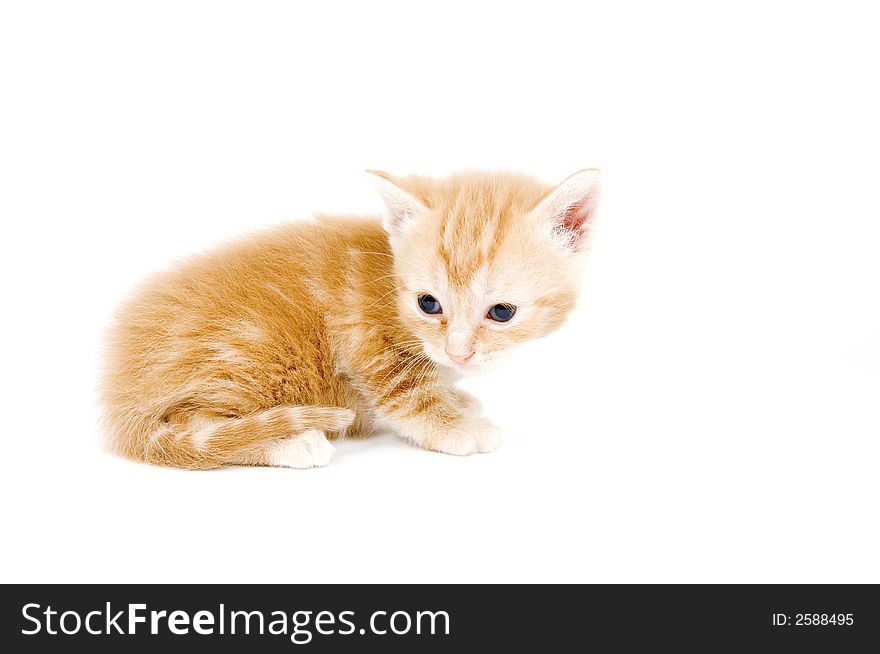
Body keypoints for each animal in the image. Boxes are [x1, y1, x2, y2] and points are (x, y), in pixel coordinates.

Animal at [101, 169, 600, 466]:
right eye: (428, 304)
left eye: (501, 312)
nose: (458, 353)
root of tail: (120, 396)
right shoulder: (363, 336)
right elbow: (405, 397)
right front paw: (454, 427)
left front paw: (457, 397)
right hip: (248, 356)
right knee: (192, 426)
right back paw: (290, 442)